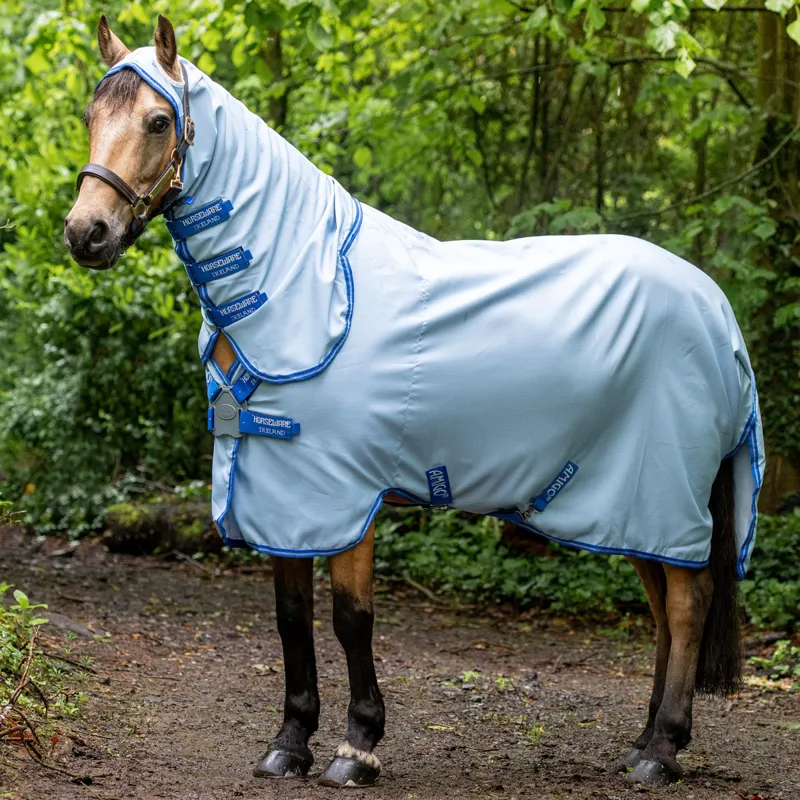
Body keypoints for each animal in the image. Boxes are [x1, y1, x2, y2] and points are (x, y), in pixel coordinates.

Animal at [65, 15, 764, 789]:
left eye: (159, 121)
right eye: (91, 117)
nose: (86, 233)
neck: (305, 287)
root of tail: (717, 310)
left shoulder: (342, 494)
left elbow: (351, 618)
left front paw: (357, 748)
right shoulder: (281, 494)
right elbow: (289, 615)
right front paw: (289, 743)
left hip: (664, 497)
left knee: (688, 606)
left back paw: (661, 753)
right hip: (632, 509)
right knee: (665, 612)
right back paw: (645, 742)